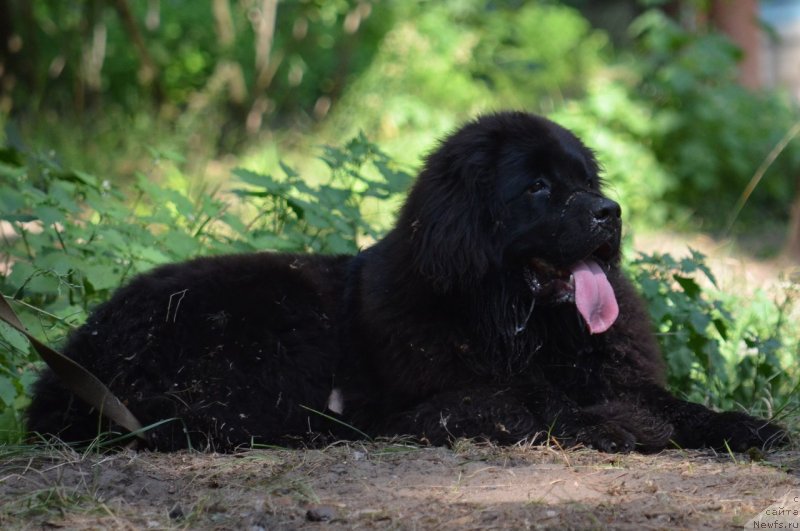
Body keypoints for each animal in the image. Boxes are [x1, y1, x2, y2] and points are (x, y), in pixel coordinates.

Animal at [26, 112, 788, 454]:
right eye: (539, 188)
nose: (610, 211)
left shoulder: (614, 370)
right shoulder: (444, 402)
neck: (522, 326)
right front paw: (623, 425)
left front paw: (748, 425)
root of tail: (77, 356)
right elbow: (534, 402)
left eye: (587, 181)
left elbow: (684, 405)